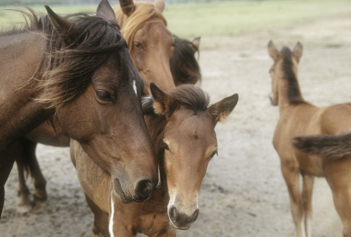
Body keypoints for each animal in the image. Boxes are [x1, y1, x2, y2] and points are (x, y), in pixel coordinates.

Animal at [268, 40, 351, 237]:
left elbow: (297, 211)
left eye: (270, 70)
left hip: (341, 189)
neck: (291, 106)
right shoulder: (308, 173)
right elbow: (309, 210)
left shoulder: (288, 168)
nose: (271, 98)